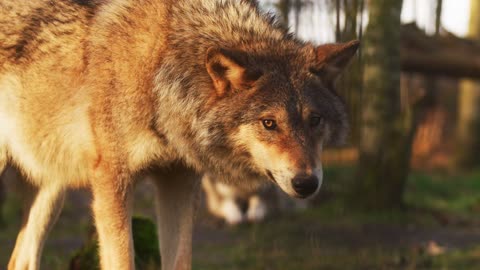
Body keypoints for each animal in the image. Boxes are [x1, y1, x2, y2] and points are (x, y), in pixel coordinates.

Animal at [0, 0, 358, 268]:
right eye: (269, 123)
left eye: (315, 120)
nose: (307, 183)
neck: (160, 71)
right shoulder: (112, 181)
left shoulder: (179, 180)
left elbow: (180, 259)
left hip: (51, 190)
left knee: (21, 260)